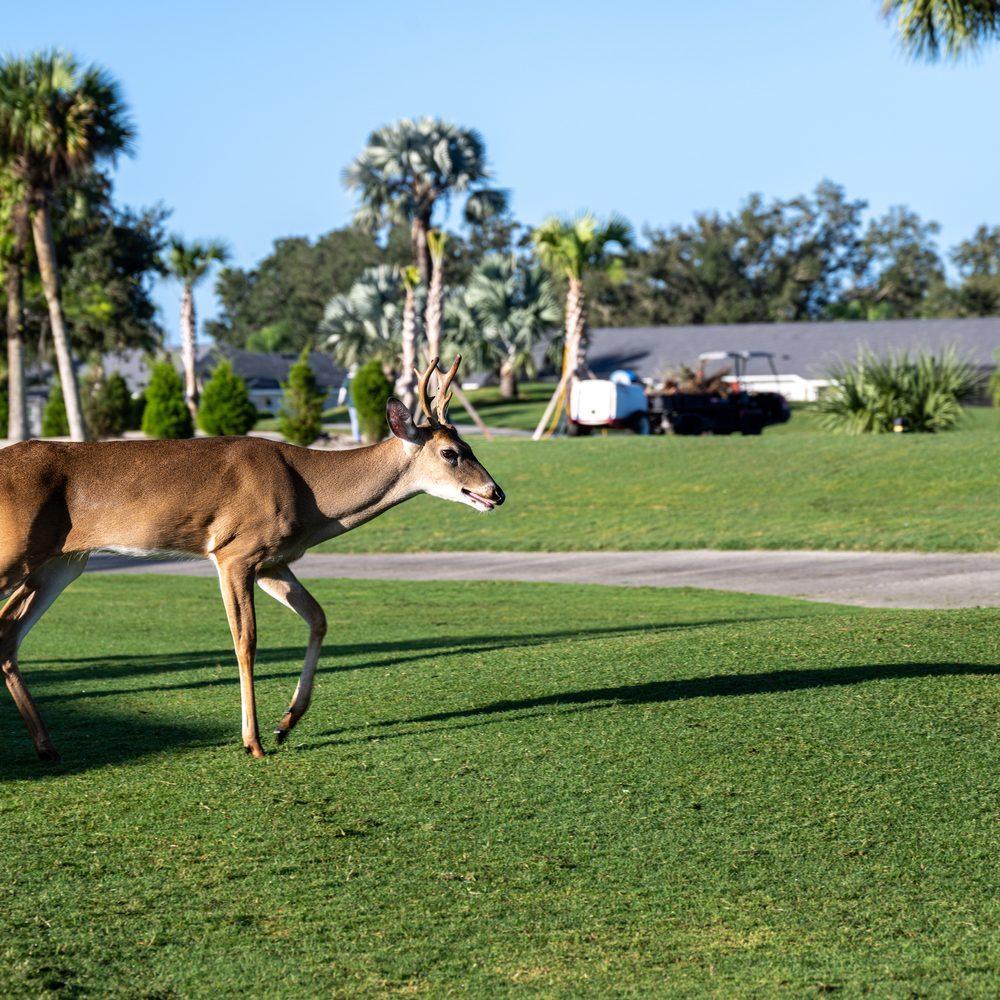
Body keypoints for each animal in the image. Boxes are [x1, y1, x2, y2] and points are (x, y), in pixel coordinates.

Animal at [0, 355, 504, 761]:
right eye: (451, 452)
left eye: (470, 447)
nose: (496, 492)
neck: (312, 497)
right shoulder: (233, 552)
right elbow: (246, 641)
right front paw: (254, 741)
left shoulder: (272, 560)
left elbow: (318, 618)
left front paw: (286, 723)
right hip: (17, 552)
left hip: (61, 563)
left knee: (8, 632)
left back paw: (46, 746)